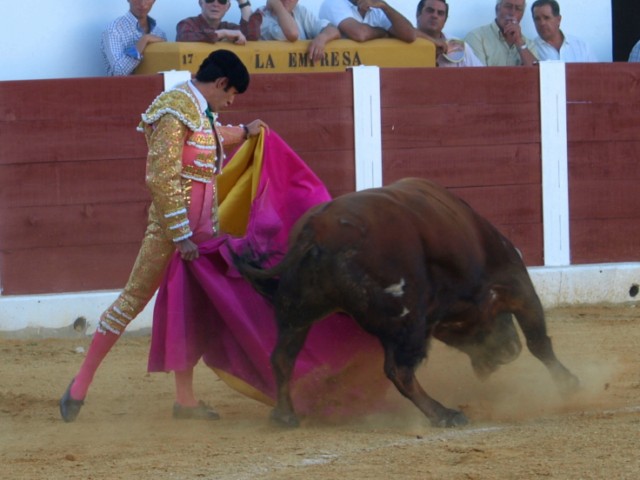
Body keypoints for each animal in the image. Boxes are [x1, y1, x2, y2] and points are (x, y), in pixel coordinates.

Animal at [235, 178, 580, 430]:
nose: (509, 350)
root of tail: (314, 233)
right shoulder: (516, 283)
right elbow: (540, 343)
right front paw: (570, 384)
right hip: (406, 318)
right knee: (399, 371)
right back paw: (444, 414)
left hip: (297, 313)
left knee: (282, 357)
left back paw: (285, 415)